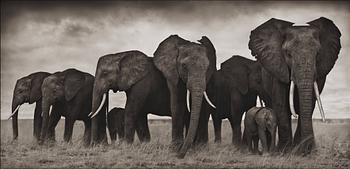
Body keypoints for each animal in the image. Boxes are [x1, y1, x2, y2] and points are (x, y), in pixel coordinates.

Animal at [249, 17, 342, 153]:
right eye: (288, 54)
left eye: (318, 53)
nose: (310, 149)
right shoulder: (277, 66)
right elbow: (281, 103)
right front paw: (285, 151)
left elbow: (310, 102)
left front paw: (303, 151)